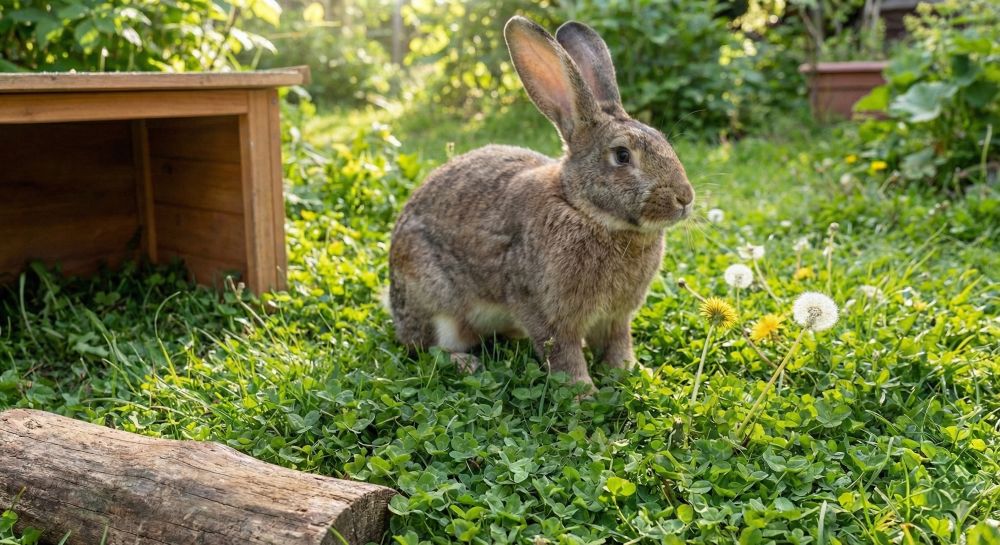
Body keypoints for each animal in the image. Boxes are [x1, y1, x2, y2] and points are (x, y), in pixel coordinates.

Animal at [388, 16, 694, 387]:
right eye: (622, 156)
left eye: (663, 140)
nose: (685, 198)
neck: (584, 210)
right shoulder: (545, 310)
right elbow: (564, 354)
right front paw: (584, 391)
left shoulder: (616, 316)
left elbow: (618, 342)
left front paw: (627, 371)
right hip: (435, 299)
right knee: (428, 347)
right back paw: (466, 364)